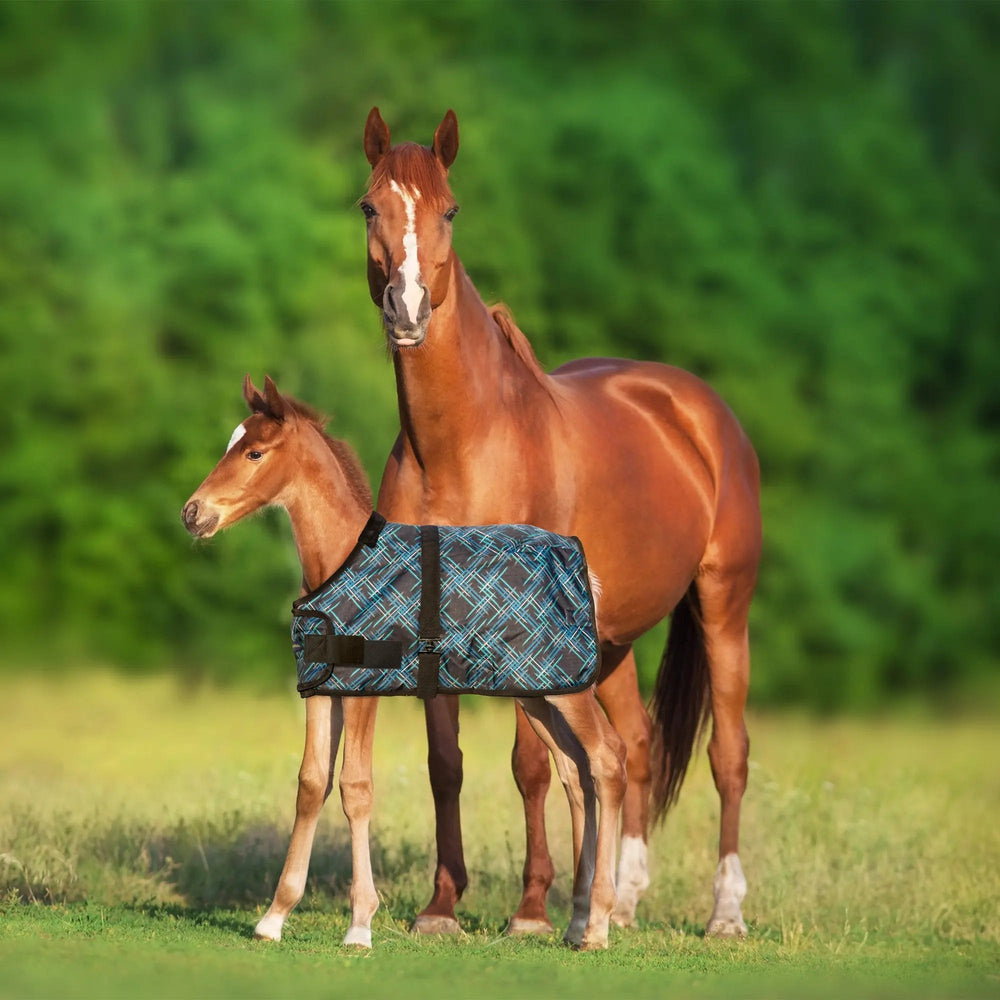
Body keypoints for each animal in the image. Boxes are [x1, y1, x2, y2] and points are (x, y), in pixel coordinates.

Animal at [181, 375, 628, 950]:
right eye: (230, 444)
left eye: (254, 452)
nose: (193, 514)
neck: (341, 560)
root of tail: (583, 569)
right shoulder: (321, 690)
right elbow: (311, 785)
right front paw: (273, 918)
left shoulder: (364, 690)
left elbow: (355, 788)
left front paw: (360, 925)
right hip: (537, 694)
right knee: (577, 772)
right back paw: (575, 922)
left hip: (566, 690)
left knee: (608, 760)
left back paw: (598, 923)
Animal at [360, 107, 761, 937]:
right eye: (368, 207)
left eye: (450, 211)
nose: (408, 312)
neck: (464, 446)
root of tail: (699, 410)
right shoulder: (434, 624)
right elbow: (446, 765)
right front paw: (443, 906)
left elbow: (531, 765)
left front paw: (532, 909)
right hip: (610, 641)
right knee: (635, 746)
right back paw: (625, 898)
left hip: (723, 604)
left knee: (729, 755)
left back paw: (725, 913)